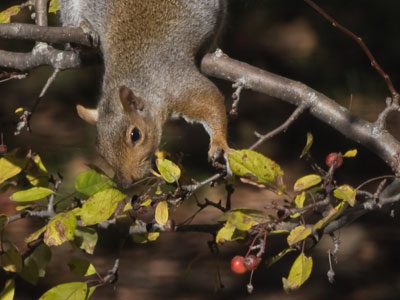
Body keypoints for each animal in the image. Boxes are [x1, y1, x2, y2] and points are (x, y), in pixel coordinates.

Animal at [59, 0, 228, 188]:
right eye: (100, 149)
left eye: (135, 135)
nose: (127, 182)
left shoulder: (179, 84)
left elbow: (210, 100)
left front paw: (219, 143)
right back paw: (84, 30)